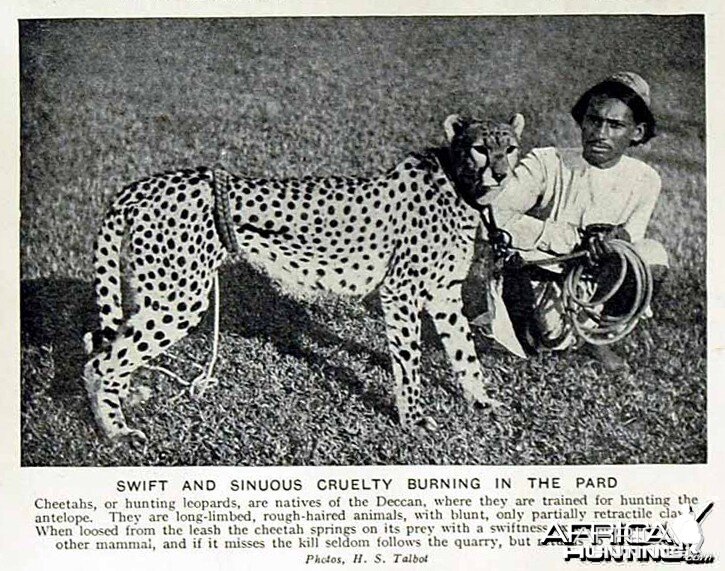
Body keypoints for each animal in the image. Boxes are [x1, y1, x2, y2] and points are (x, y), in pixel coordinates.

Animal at [85, 111, 524, 442]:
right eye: (480, 149)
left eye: (510, 148)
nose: (501, 174)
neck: (458, 183)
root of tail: (146, 184)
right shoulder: (401, 293)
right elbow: (409, 363)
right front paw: (412, 419)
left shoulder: (445, 294)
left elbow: (465, 353)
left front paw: (481, 401)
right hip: (178, 300)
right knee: (102, 362)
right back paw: (117, 432)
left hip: (153, 290)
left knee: (103, 344)